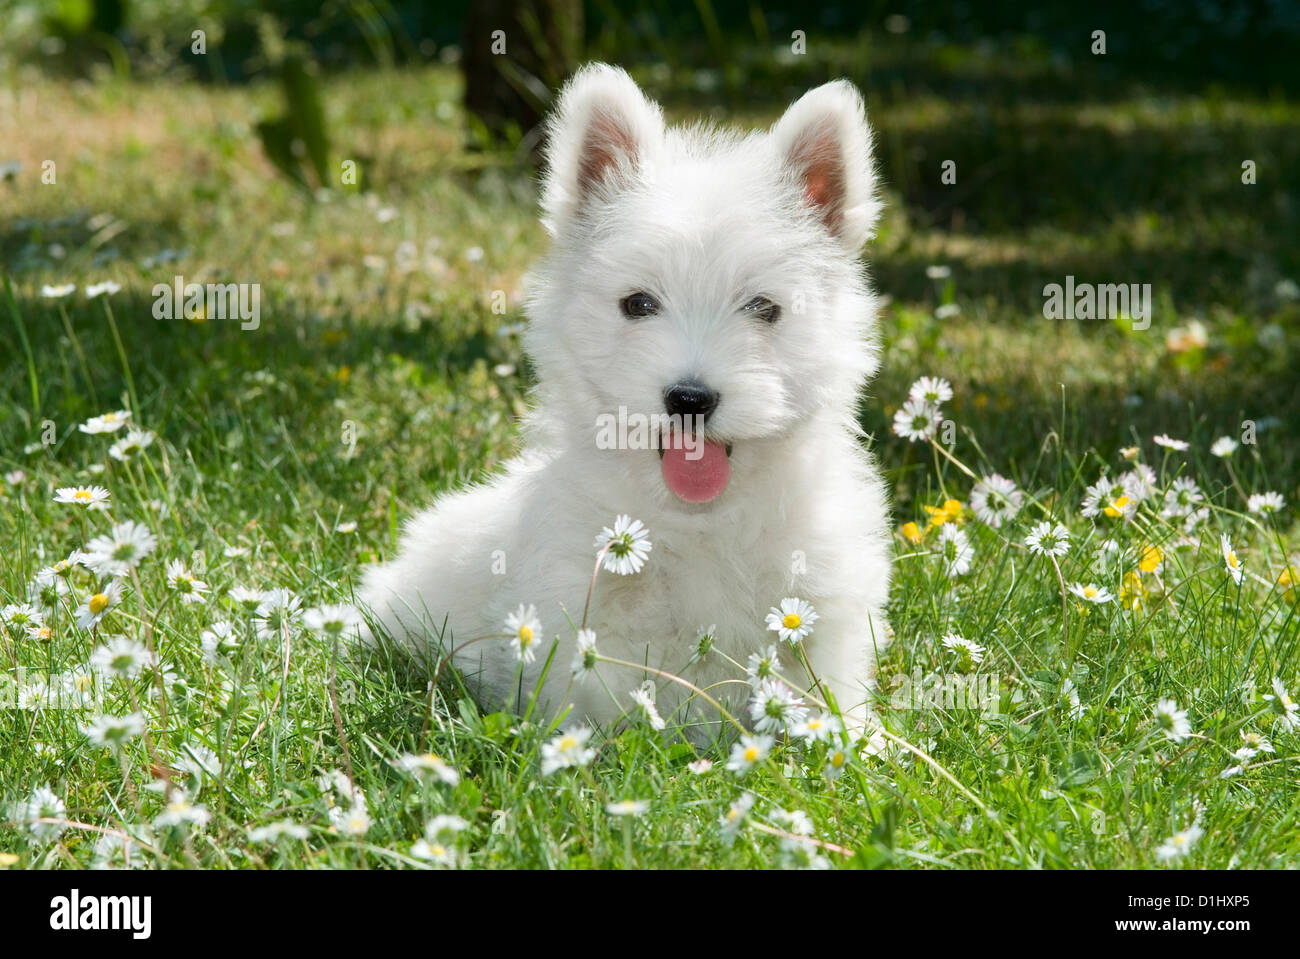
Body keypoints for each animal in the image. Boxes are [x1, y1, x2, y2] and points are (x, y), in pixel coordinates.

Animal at [364, 65, 894, 738]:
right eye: (639, 303)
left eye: (763, 308)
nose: (690, 397)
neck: (696, 520)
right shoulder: (582, 619)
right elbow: (602, 705)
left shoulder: (821, 610)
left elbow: (824, 701)